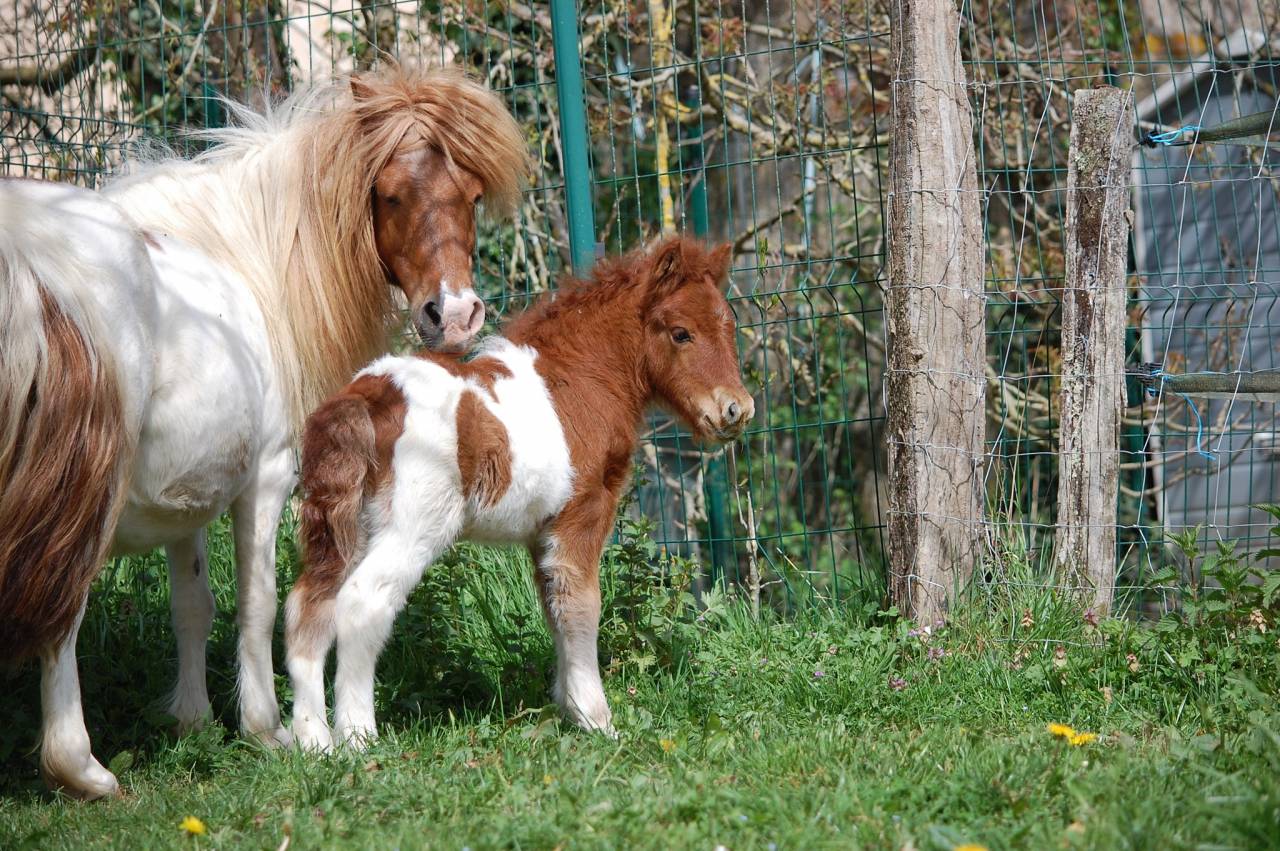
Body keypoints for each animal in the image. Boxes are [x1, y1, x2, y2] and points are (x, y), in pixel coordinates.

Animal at [0, 66, 528, 798]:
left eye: (472, 195)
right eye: (390, 195)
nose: (453, 316)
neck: (246, 260)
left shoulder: (188, 490)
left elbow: (193, 603)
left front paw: (193, 721)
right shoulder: (269, 475)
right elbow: (260, 601)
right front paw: (267, 727)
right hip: (84, 497)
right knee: (62, 611)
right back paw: (82, 767)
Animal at [283, 236, 754, 749]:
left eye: (728, 325)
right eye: (681, 333)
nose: (737, 409)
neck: (580, 377)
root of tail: (366, 397)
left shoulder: (541, 531)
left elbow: (555, 608)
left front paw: (570, 710)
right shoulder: (583, 513)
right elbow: (582, 605)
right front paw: (598, 720)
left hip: (342, 526)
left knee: (308, 607)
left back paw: (313, 741)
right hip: (415, 526)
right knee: (361, 603)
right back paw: (357, 739)